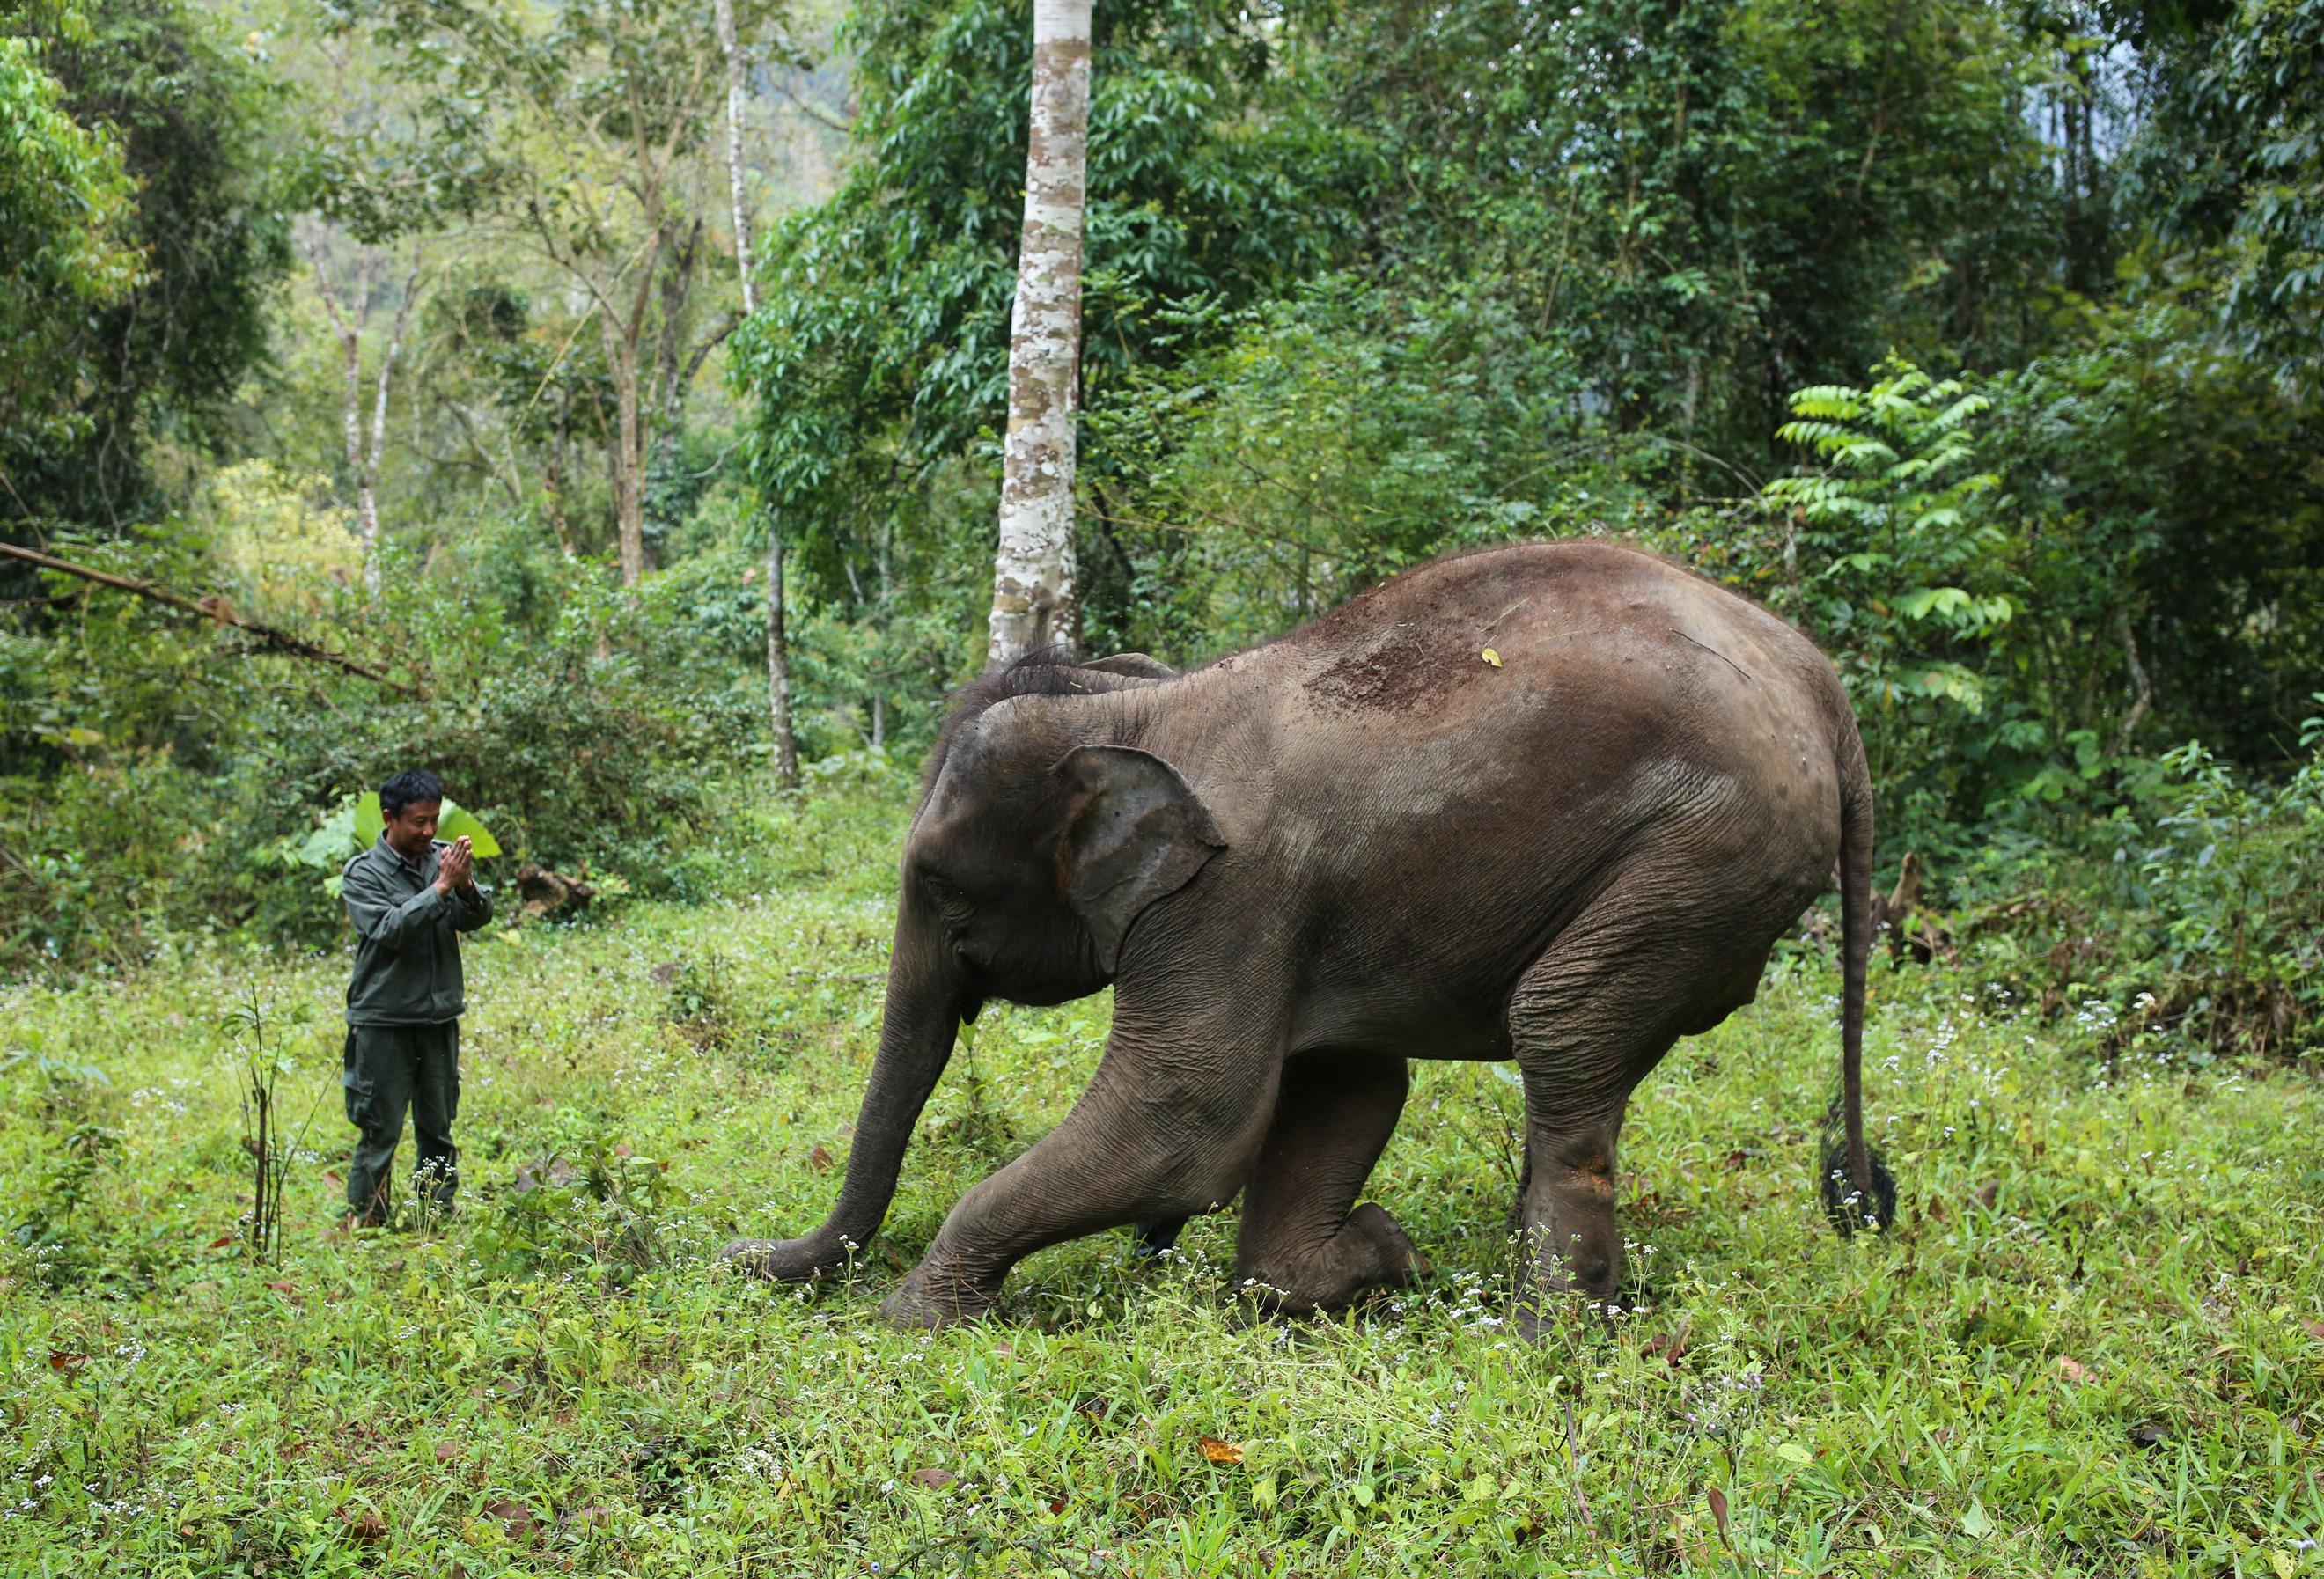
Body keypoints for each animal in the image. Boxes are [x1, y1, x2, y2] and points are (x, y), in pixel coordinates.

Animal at [720, 536, 1886, 1328]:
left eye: (938, 886)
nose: (737, 1252)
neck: (1141, 707)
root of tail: (1817, 676)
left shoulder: (1226, 897)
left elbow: (1183, 1120)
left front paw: (912, 1320)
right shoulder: (1298, 914)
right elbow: (1347, 1083)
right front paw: (1374, 1260)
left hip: (1705, 849)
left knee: (1559, 1029)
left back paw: (1543, 1336)